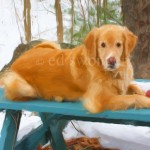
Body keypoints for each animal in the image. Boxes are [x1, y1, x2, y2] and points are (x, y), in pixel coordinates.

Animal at [1, 24, 150, 113]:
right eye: (102, 45)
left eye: (118, 44)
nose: (111, 61)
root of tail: (16, 60)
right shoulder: (99, 100)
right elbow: (133, 97)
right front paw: (145, 101)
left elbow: (133, 87)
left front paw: (140, 91)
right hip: (23, 85)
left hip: (51, 44)